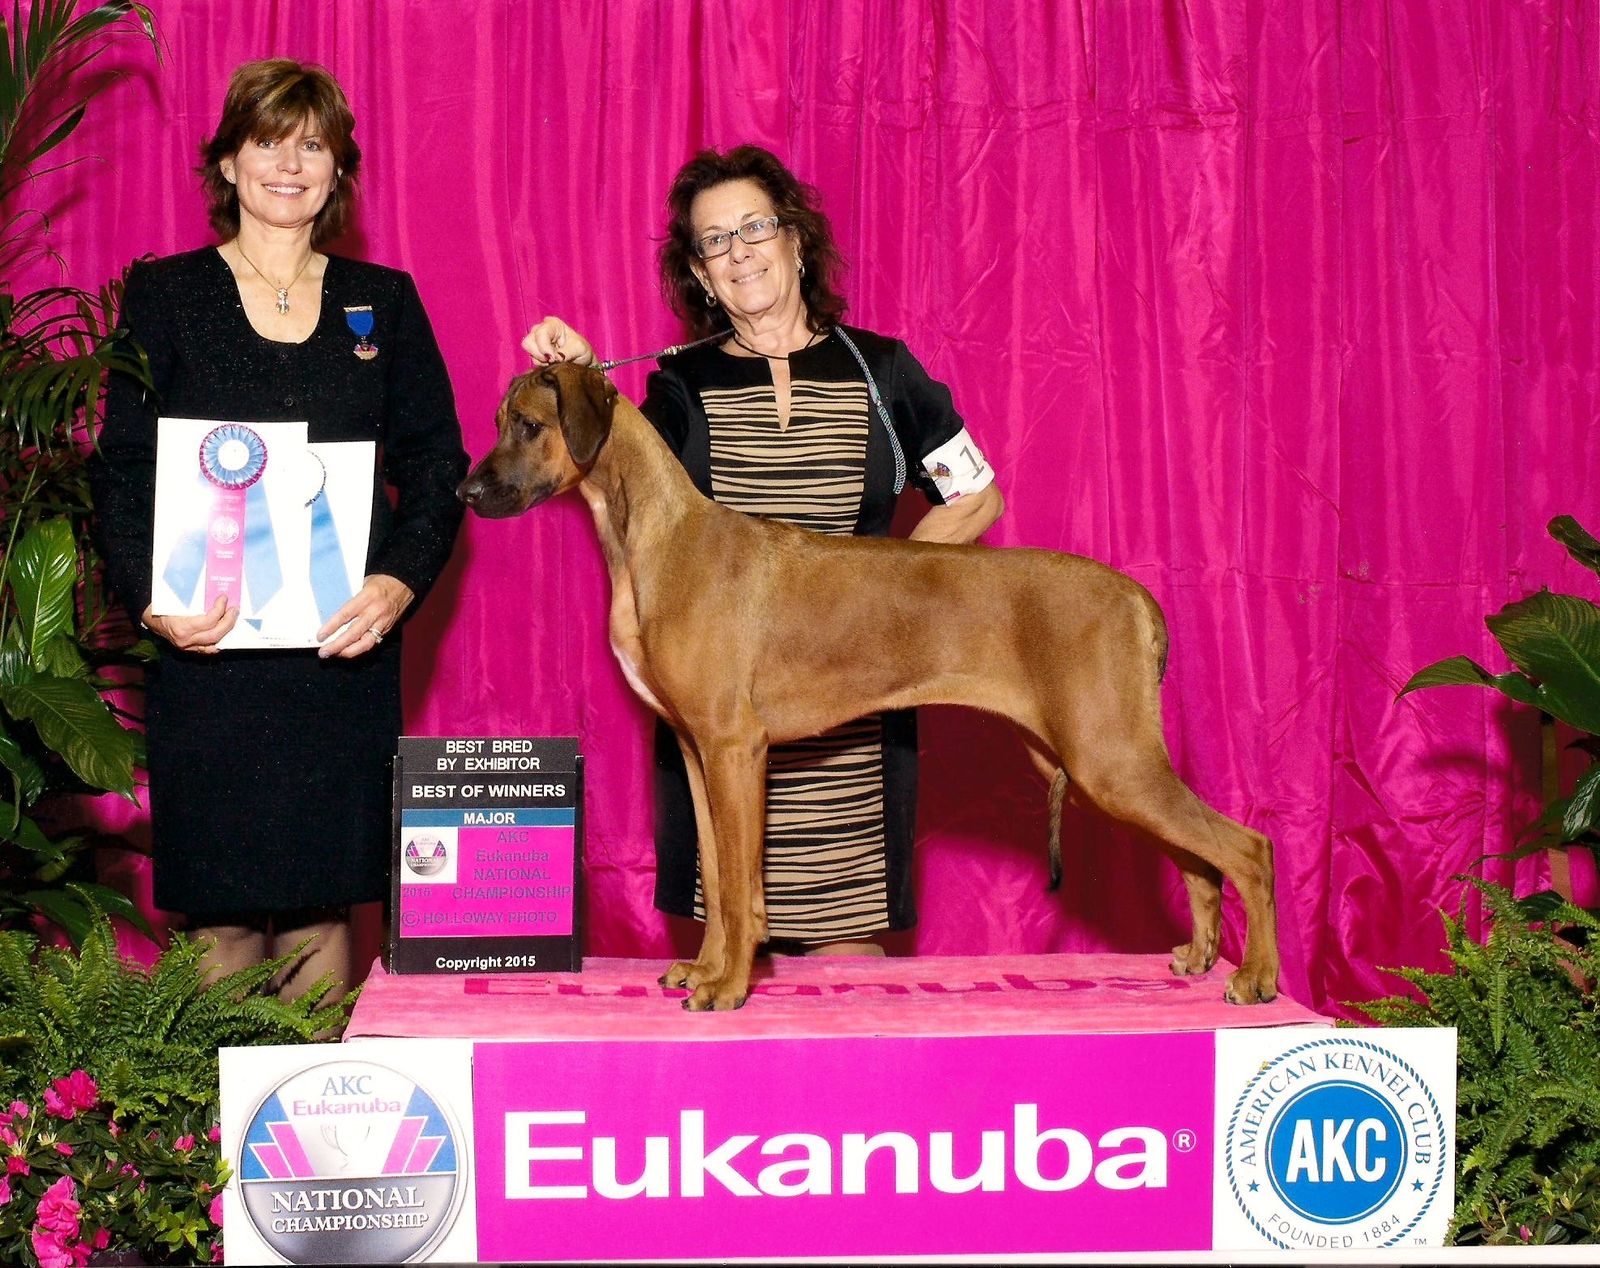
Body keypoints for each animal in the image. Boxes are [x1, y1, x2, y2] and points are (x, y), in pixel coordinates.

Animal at [457, 363, 1280, 1011]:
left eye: (529, 426)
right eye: (499, 423)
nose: (467, 490)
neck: (654, 536)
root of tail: (1138, 597)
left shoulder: (734, 747)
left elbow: (739, 882)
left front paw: (730, 987)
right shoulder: (696, 750)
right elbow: (717, 880)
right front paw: (705, 967)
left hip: (1109, 761)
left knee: (1248, 847)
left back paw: (1258, 977)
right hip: (1090, 764)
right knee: (1199, 859)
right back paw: (1200, 954)